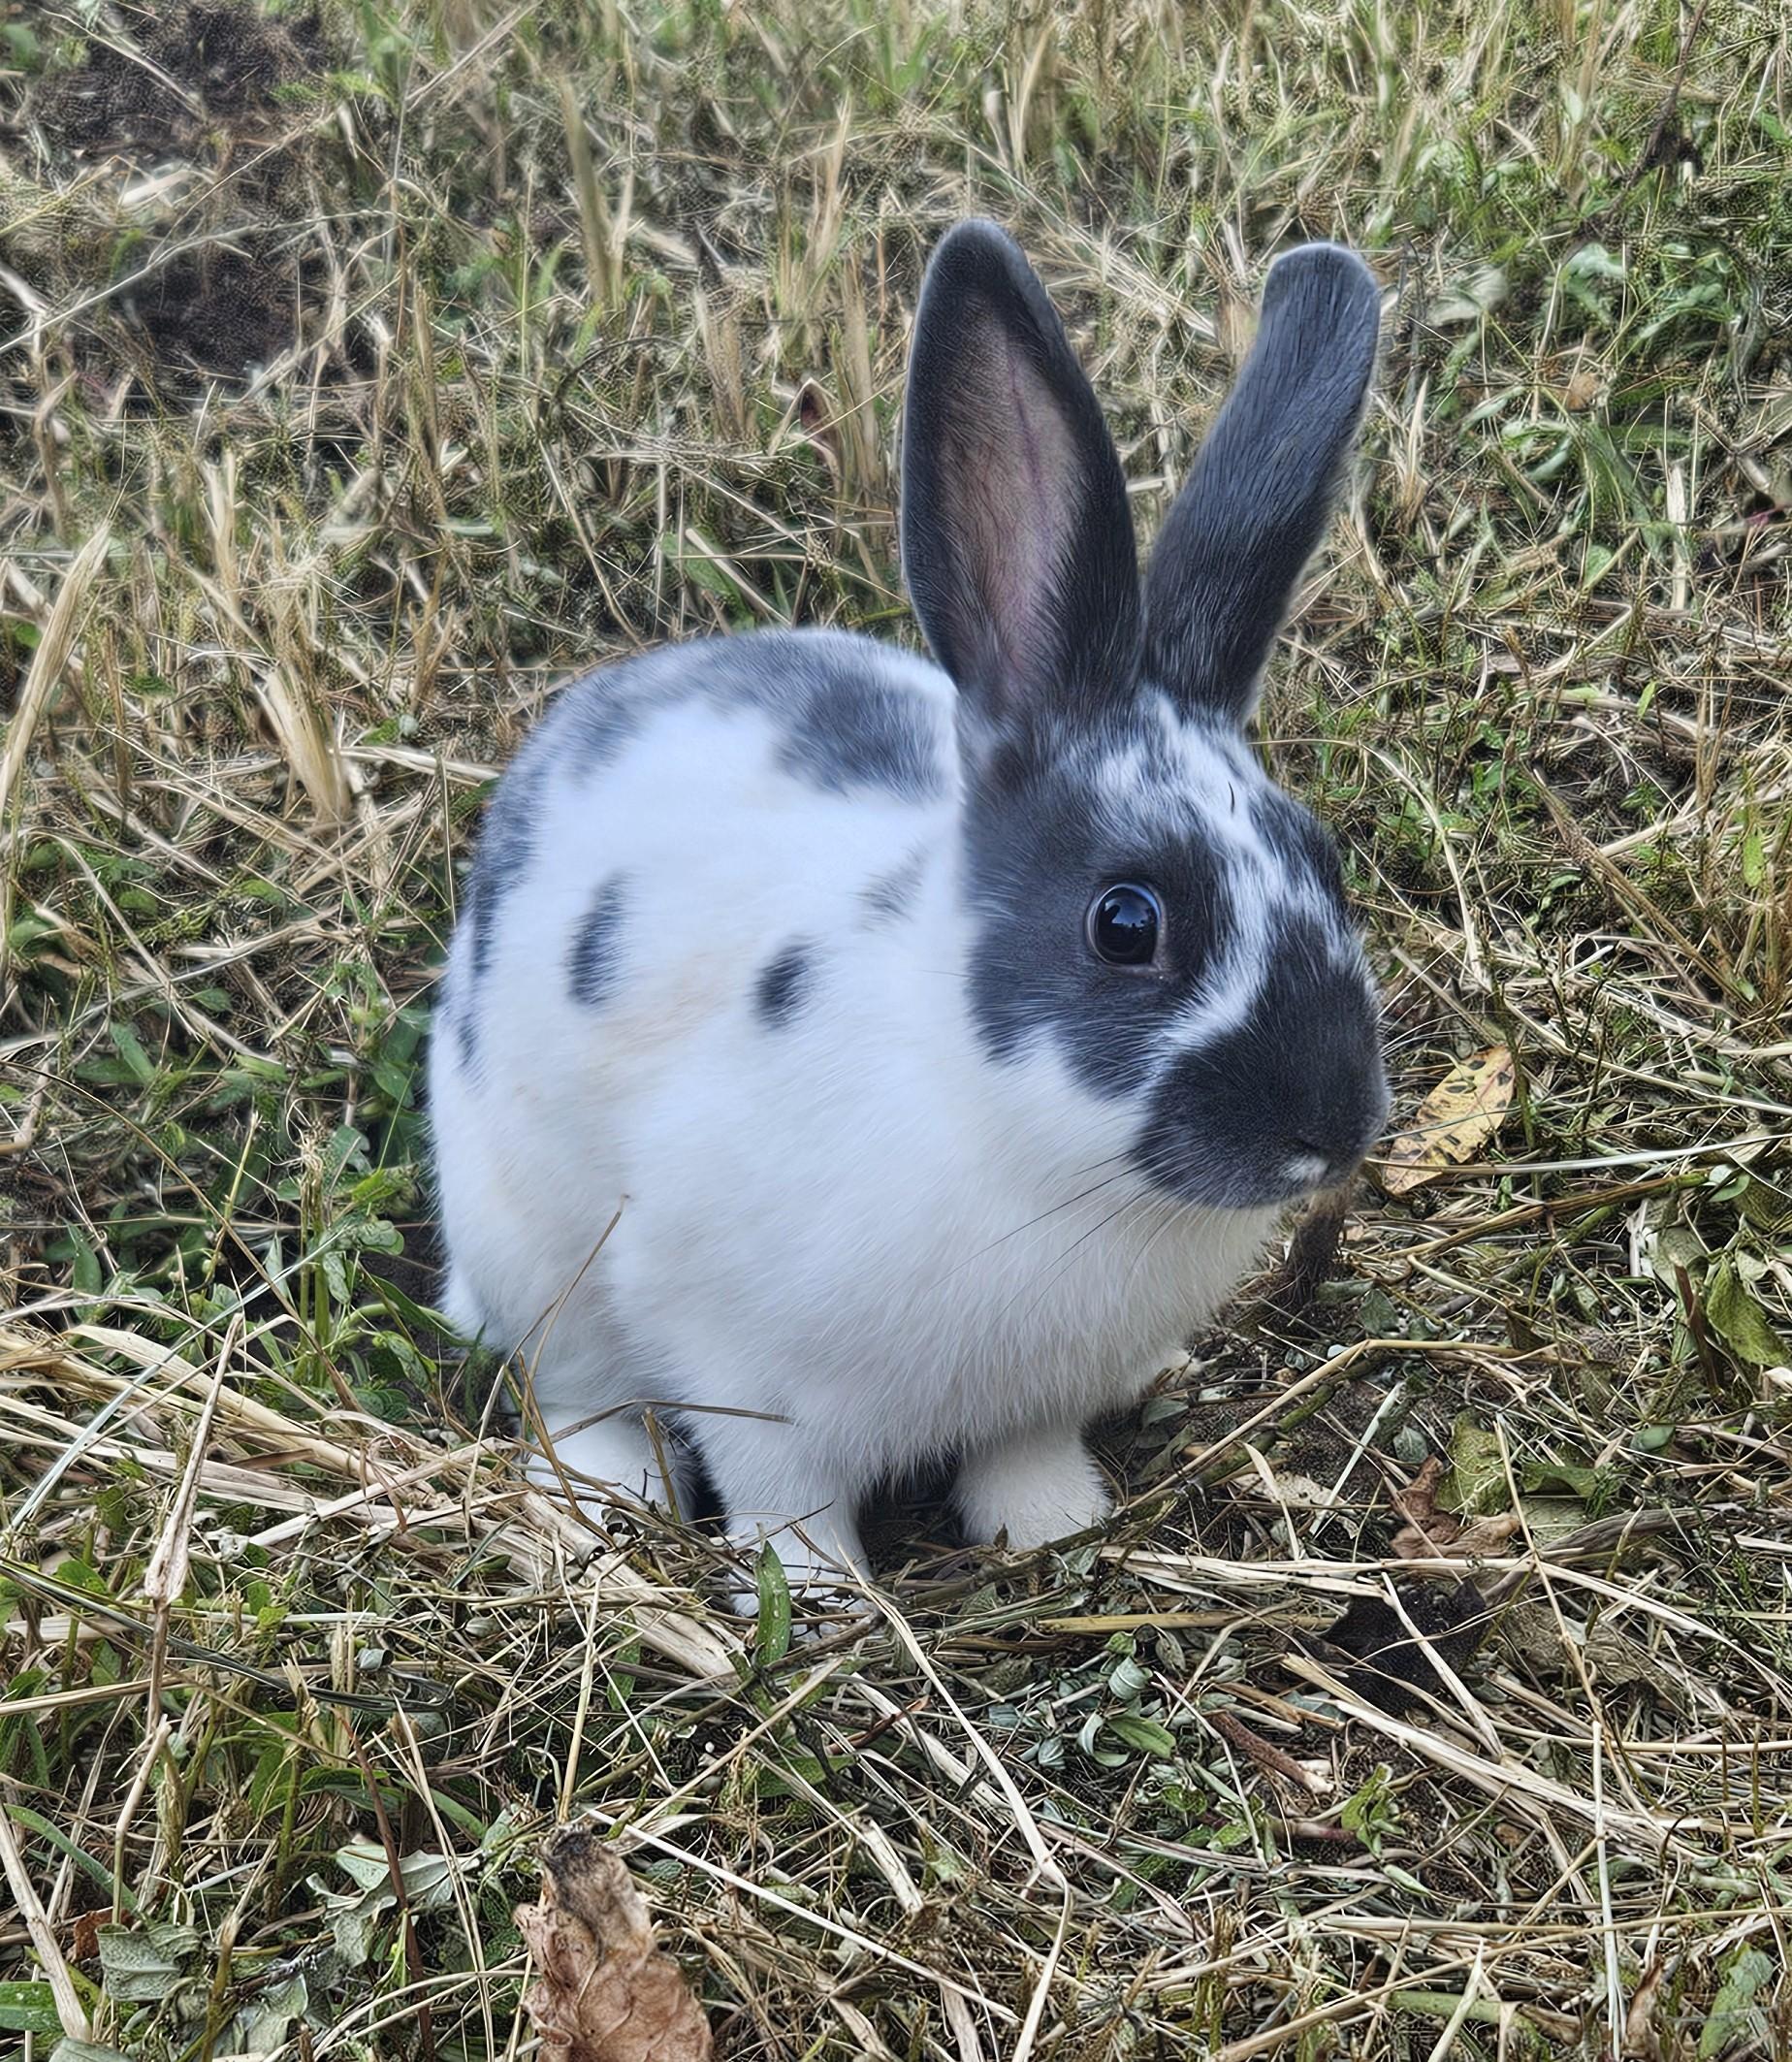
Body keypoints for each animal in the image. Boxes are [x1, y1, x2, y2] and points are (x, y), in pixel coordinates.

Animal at [428, 218, 1390, 1594]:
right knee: (580, 1391)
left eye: (1326, 855)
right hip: (531, 1245)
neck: (1035, 1157)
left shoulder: (1034, 1397)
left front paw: (1054, 1526)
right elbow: (784, 1500)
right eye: (1126, 921)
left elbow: (1024, 1452)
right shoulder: (741, 1368)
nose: (1333, 1126)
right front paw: (825, 1597)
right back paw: (606, 1499)